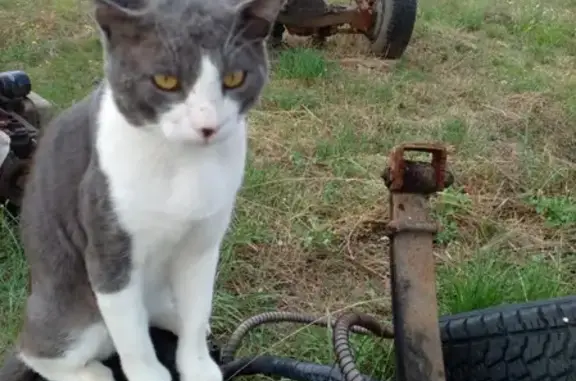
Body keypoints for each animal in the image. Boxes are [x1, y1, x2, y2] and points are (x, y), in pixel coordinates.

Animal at [0, 0, 286, 380]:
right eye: (166, 81)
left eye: (234, 78)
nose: (207, 126)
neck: (184, 163)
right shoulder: (108, 249)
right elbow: (132, 336)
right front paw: (150, 373)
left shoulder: (203, 243)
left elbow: (198, 306)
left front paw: (198, 364)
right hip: (67, 308)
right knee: (39, 349)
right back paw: (93, 372)